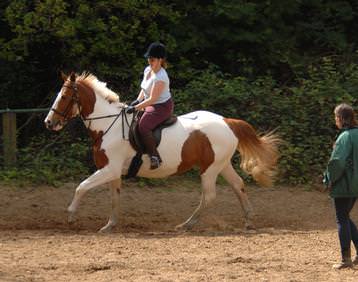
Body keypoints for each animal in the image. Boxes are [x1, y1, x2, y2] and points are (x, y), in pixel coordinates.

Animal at [44, 71, 280, 232]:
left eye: (64, 97)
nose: (49, 123)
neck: (108, 125)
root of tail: (227, 121)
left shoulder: (109, 170)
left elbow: (81, 187)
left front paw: (71, 216)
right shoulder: (112, 172)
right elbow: (114, 198)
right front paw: (109, 225)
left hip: (209, 169)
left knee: (209, 196)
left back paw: (186, 225)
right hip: (221, 165)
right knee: (238, 185)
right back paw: (248, 220)